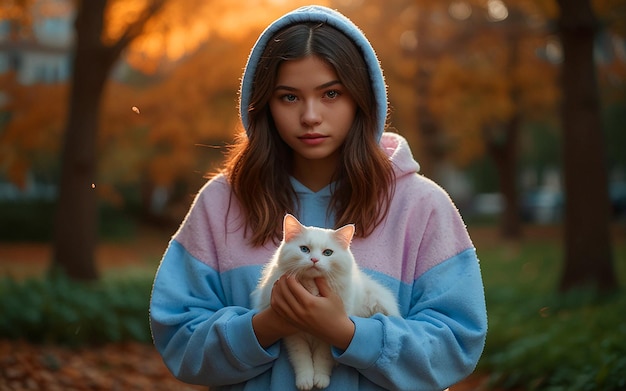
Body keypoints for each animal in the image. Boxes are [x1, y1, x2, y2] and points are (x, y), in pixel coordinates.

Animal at [250, 216, 400, 390]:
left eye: (327, 253)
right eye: (304, 249)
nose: (314, 260)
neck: (312, 287)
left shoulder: (330, 332)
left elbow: (323, 358)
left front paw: (321, 379)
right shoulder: (293, 335)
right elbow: (301, 358)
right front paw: (305, 381)